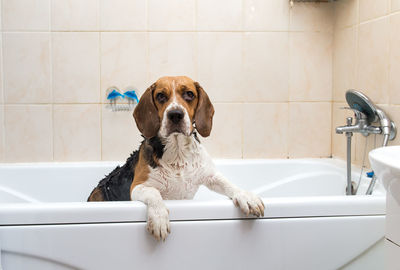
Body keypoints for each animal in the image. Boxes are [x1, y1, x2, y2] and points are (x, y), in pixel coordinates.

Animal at [90, 75, 266, 240]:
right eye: (161, 96)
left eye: (189, 94)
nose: (175, 114)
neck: (177, 151)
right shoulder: (138, 186)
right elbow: (154, 193)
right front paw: (159, 218)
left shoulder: (210, 175)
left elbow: (228, 184)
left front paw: (247, 197)